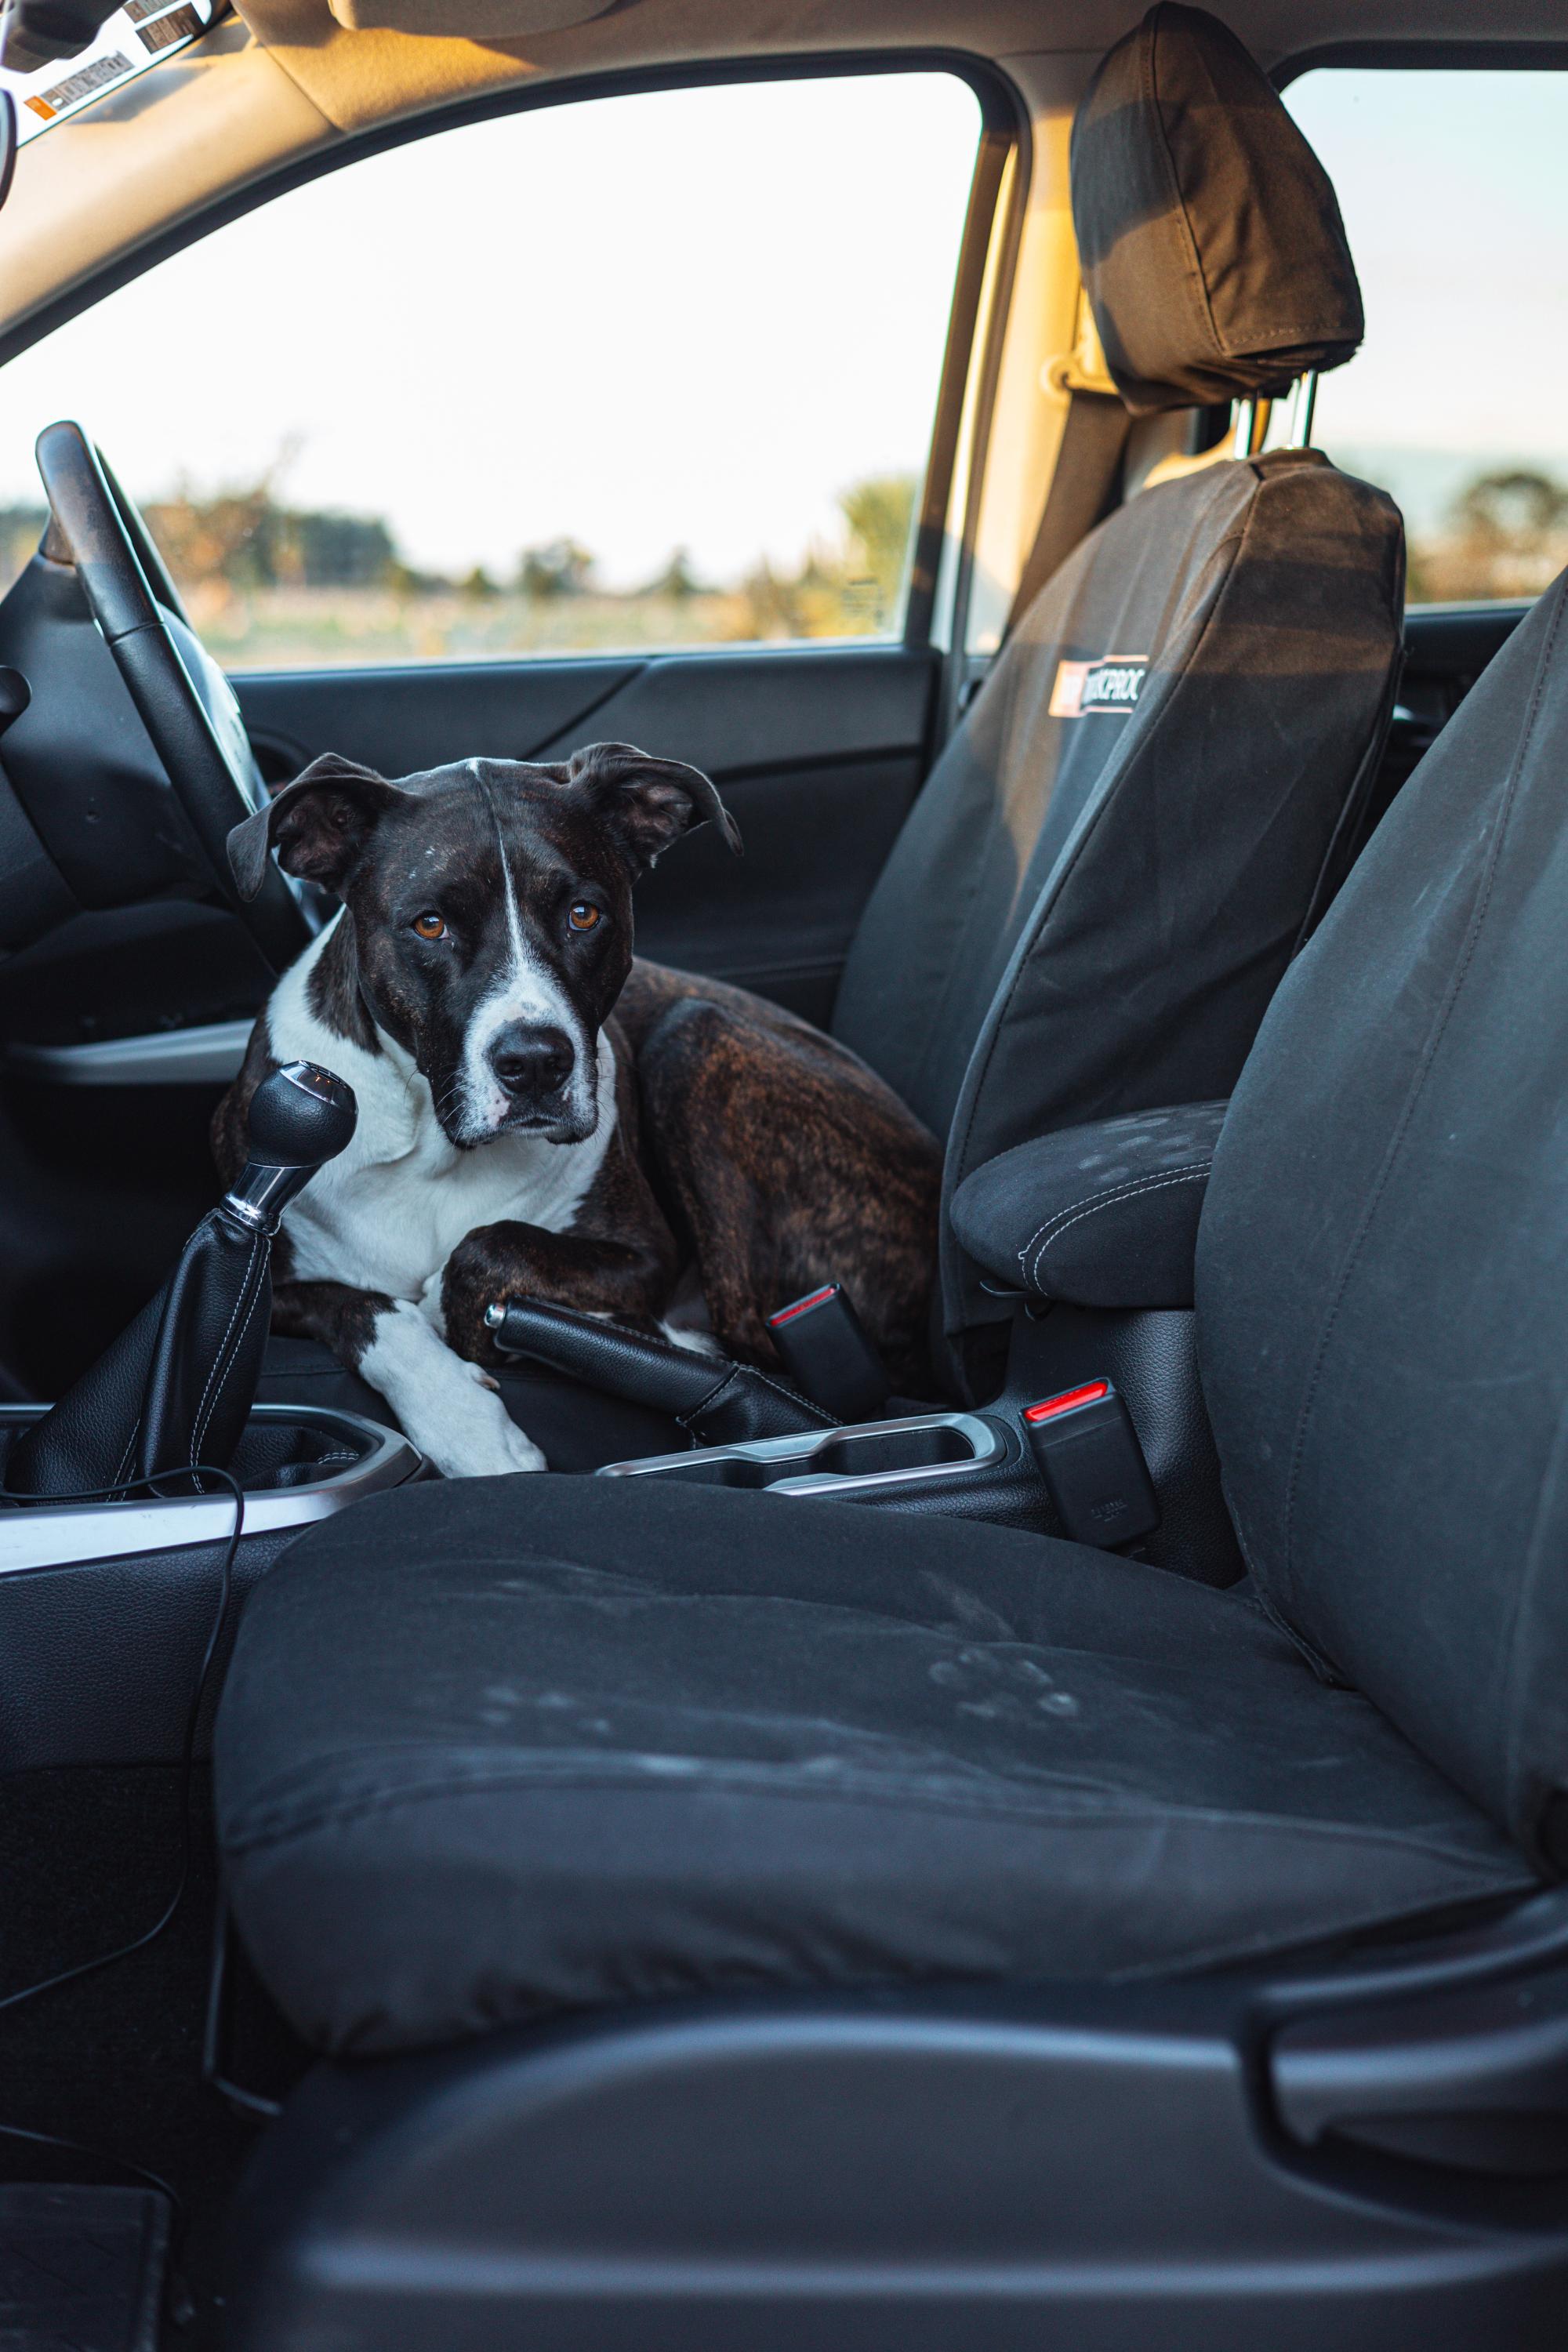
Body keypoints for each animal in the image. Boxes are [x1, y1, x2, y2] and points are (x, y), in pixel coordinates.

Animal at [210, 739, 945, 1468]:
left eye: (583, 914)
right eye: (430, 924)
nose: (536, 1062)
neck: (438, 1150)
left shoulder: (645, 1254)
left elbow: (490, 1249)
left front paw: (485, 1330)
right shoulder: (262, 1277)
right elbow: (361, 1308)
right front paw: (465, 1425)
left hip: (695, 1036)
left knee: (748, 1332)